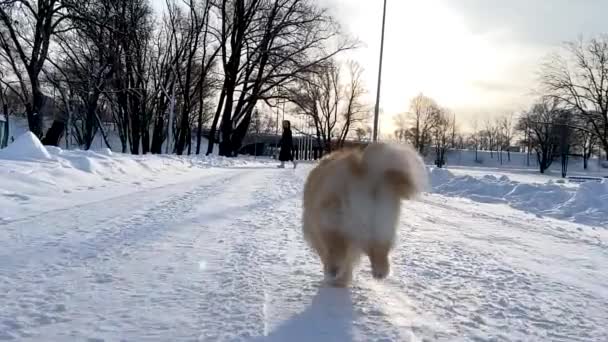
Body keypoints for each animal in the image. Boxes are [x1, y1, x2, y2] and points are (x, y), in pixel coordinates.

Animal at [302, 142, 428, 286]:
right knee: (380, 252)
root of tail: (367, 173)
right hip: (381, 225)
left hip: (333, 223)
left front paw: (340, 281)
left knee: (336, 252)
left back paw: (332, 273)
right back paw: (380, 273)